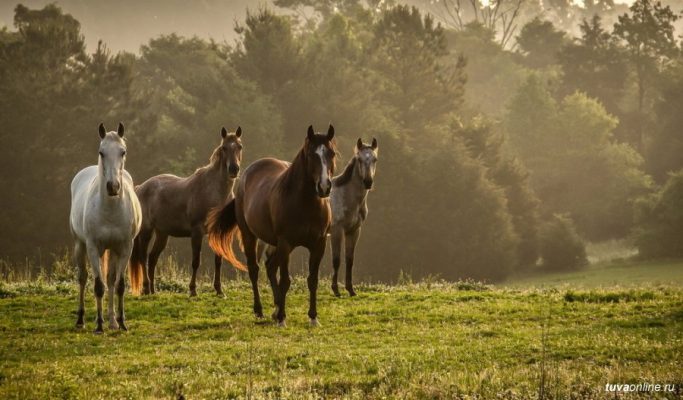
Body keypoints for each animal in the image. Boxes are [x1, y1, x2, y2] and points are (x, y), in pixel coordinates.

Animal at [69, 123, 142, 332]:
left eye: (123, 151)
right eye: (101, 152)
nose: (113, 187)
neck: (110, 210)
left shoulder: (125, 248)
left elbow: (119, 285)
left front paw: (122, 322)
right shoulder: (93, 247)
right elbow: (98, 286)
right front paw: (99, 325)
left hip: (113, 250)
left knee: (110, 279)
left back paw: (112, 321)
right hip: (80, 245)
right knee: (83, 278)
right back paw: (82, 320)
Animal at [129, 126, 246, 296]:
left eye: (239, 146)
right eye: (224, 148)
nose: (233, 169)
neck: (214, 192)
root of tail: (140, 188)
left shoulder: (216, 231)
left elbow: (218, 261)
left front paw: (219, 290)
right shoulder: (196, 232)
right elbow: (196, 261)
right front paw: (192, 290)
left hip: (162, 234)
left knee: (152, 258)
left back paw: (152, 290)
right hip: (146, 231)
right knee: (143, 257)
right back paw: (145, 288)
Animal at [208, 126, 336, 328]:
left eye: (331, 153)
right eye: (311, 155)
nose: (324, 187)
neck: (305, 204)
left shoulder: (318, 244)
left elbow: (312, 280)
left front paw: (313, 317)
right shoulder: (285, 243)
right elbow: (285, 281)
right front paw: (283, 318)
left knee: (270, 267)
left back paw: (275, 308)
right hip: (250, 236)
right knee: (255, 269)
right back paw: (260, 310)